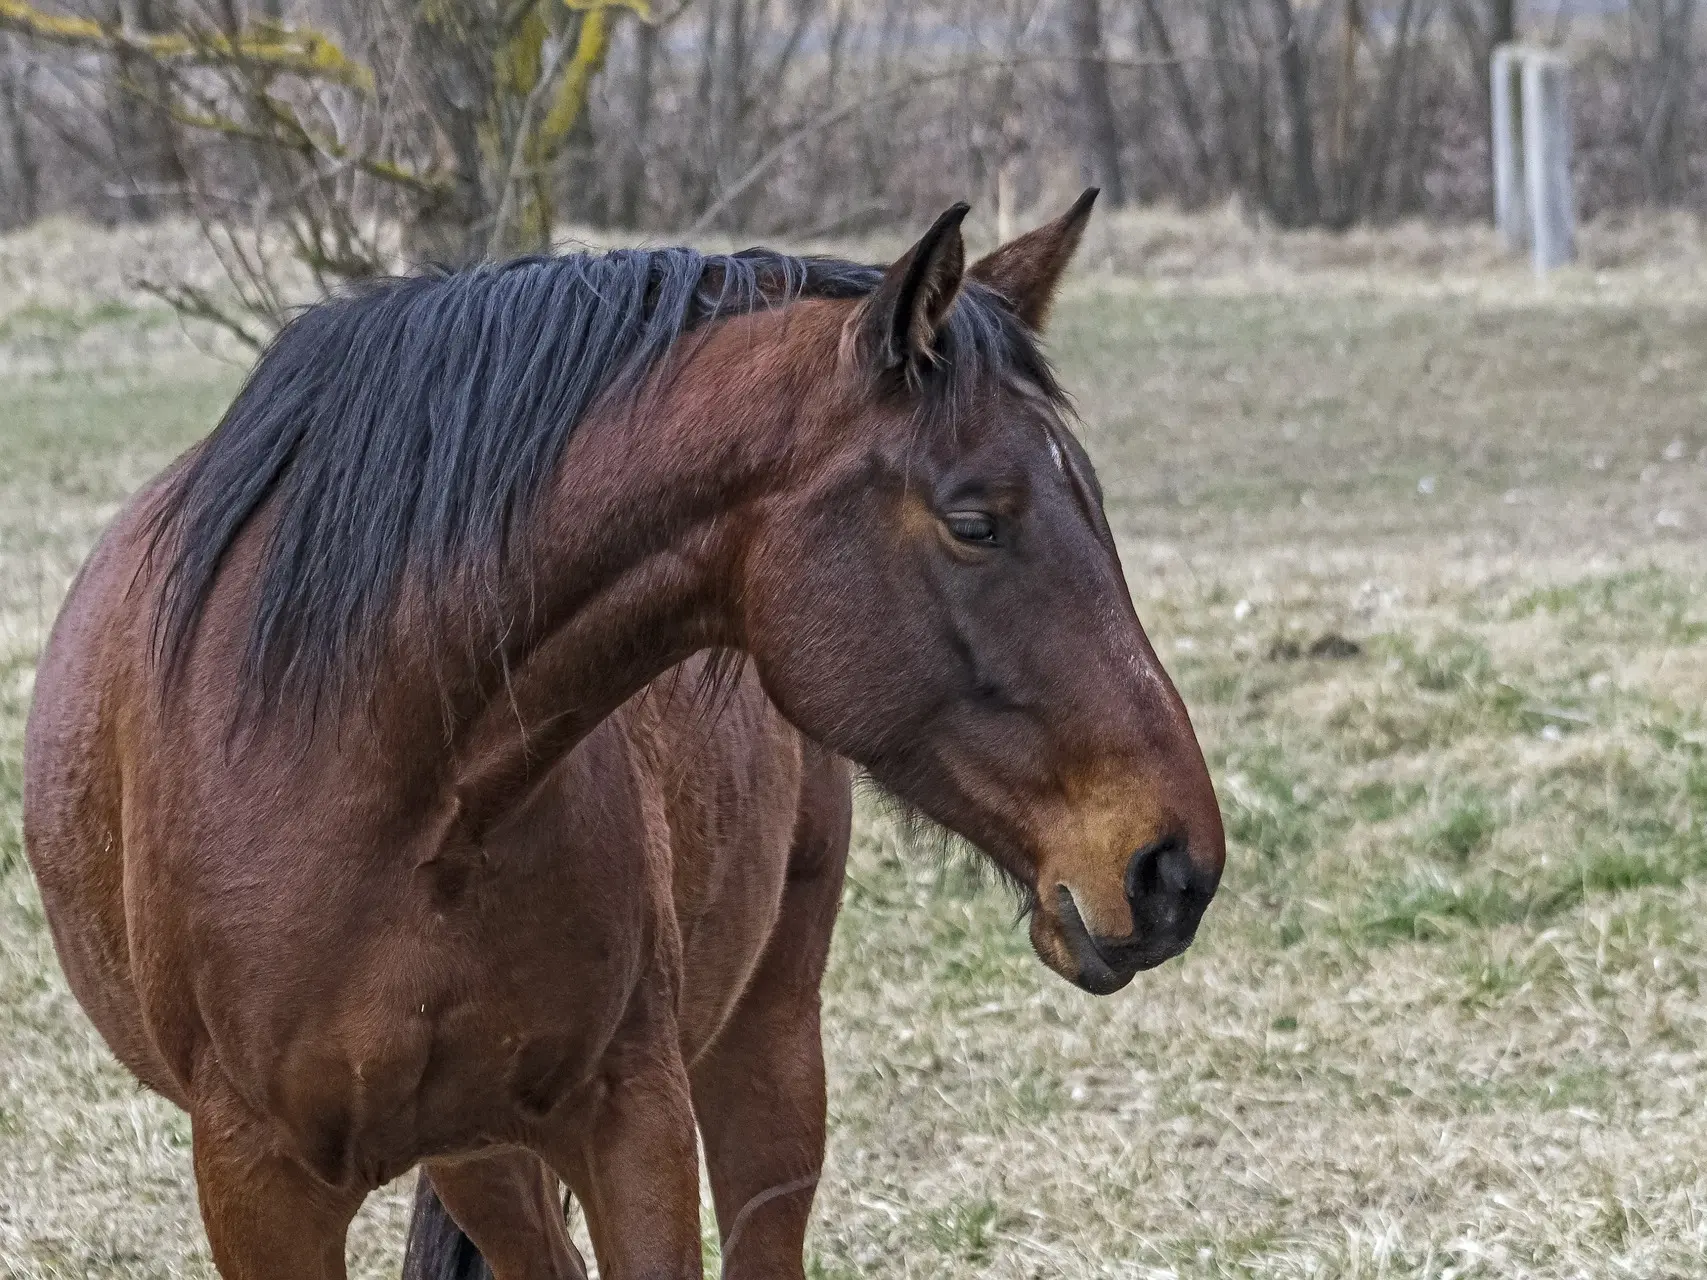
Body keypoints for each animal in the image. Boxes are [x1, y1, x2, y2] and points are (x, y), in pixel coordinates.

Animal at [26, 192, 1229, 1280]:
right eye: (975, 522)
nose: (1173, 866)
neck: (382, 776)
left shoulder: (631, 1120)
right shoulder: (257, 1181)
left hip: (759, 1051)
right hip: (481, 1155)